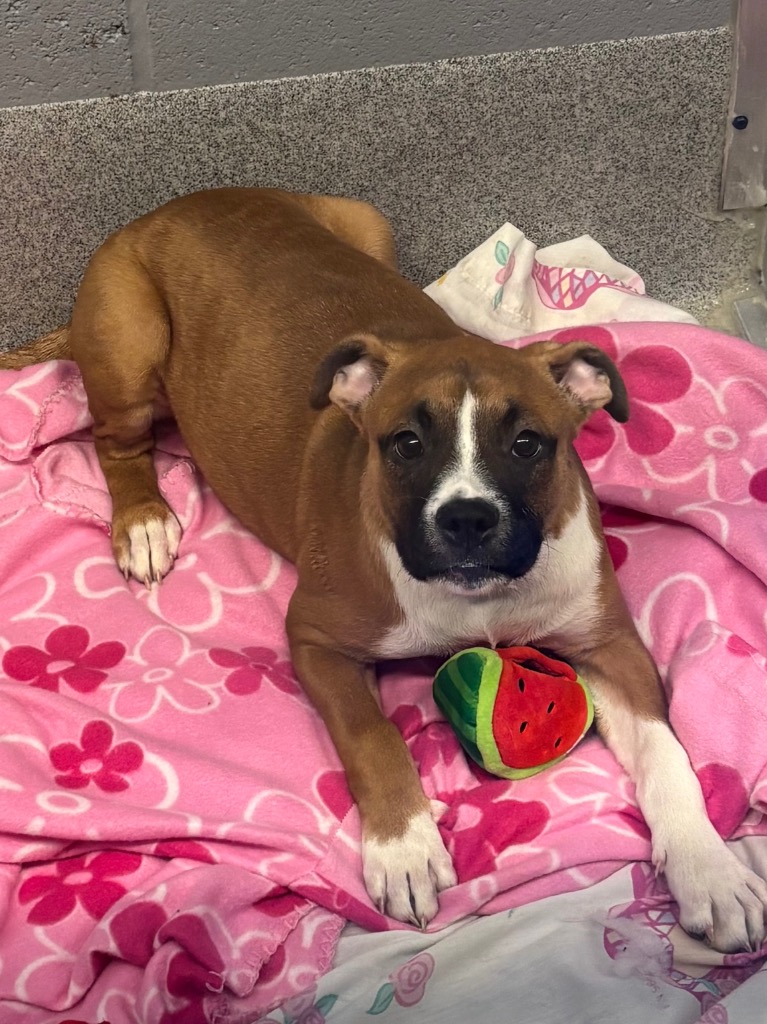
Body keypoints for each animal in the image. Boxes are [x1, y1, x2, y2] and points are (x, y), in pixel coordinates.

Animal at [2, 187, 766, 950]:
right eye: (405, 444)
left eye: (527, 444)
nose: (467, 519)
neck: (477, 598)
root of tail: (174, 206)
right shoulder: (316, 639)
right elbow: (372, 736)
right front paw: (404, 848)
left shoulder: (609, 648)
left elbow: (667, 756)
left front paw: (710, 869)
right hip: (128, 340)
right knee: (115, 444)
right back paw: (143, 522)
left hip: (367, 223)